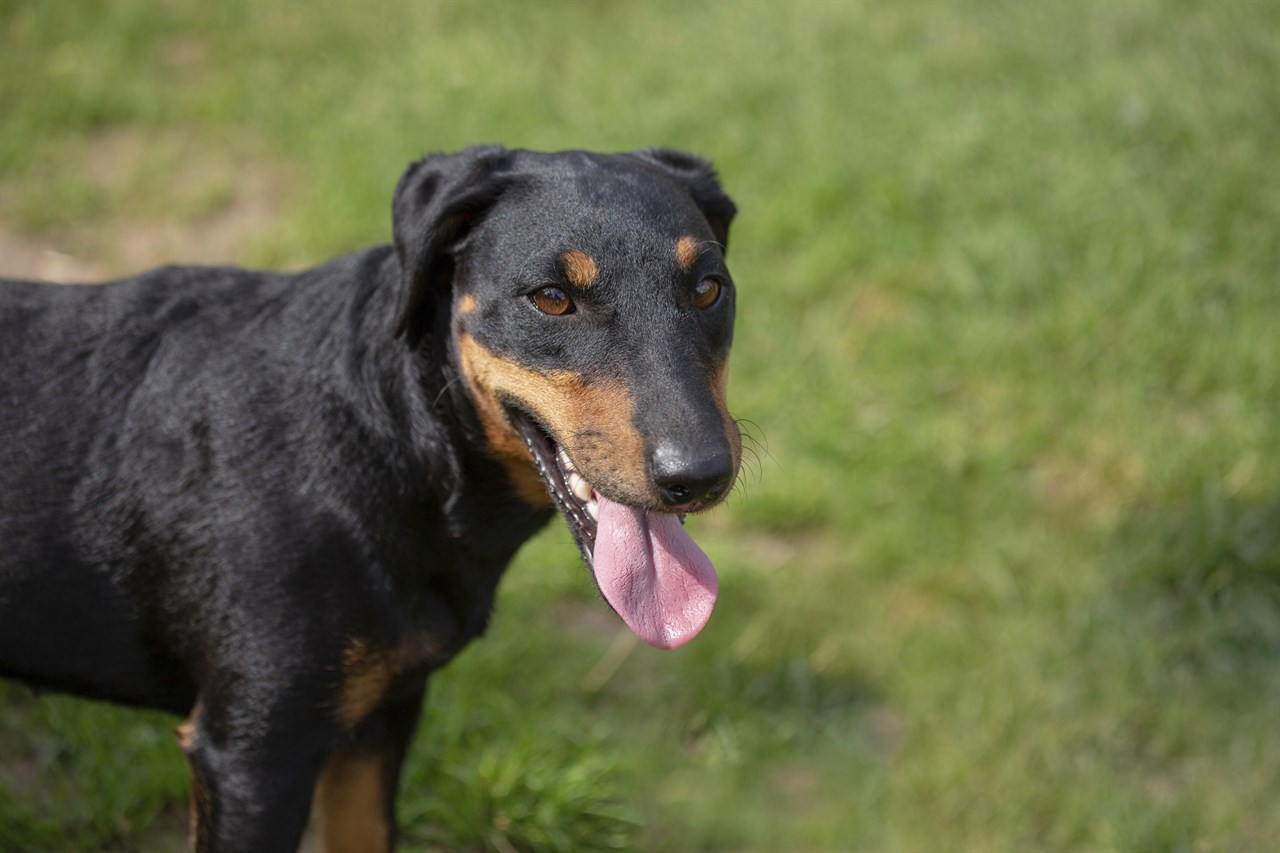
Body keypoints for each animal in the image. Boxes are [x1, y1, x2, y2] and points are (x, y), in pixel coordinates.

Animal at [0, 147, 742, 850]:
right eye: (553, 298)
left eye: (709, 289)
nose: (701, 475)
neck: (401, 438)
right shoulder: (255, 757)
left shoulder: (381, 715)